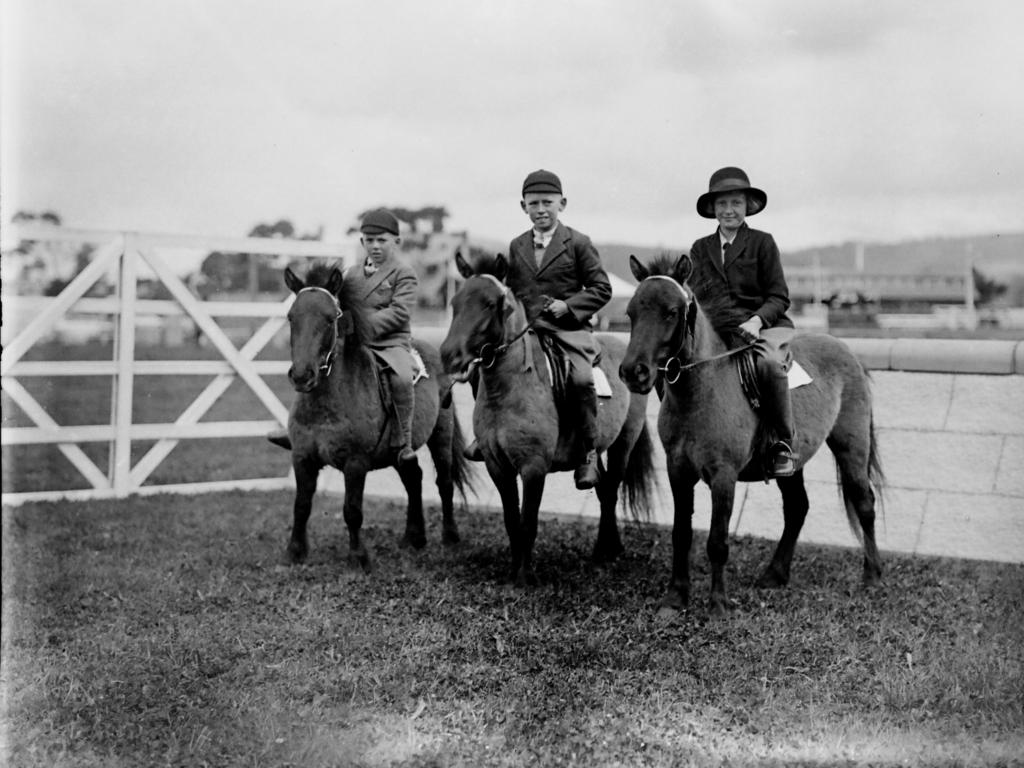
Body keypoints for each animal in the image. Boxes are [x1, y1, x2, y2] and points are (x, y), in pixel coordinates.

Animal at [280, 264, 471, 573]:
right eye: (291, 317)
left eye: (330, 318)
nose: (301, 375)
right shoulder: (302, 458)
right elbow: (301, 505)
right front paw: (295, 552)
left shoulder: (355, 463)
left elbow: (352, 510)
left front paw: (358, 556)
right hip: (399, 453)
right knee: (413, 478)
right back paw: (414, 537)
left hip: (441, 436)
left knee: (444, 483)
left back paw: (450, 536)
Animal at [440, 249, 655, 585]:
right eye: (455, 302)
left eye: (490, 304)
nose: (449, 355)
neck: (509, 389)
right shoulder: (497, 467)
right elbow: (511, 521)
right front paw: (514, 571)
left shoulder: (533, 467)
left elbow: (528, 522)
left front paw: (525, 577)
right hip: (597, 448)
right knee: (602, 487)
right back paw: (608, 545)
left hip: (624, 442)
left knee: (611, 490)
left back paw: (606, 551)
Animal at [614, 253, 880, 618]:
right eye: (631, 312)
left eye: (671, 311)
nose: (633, 372)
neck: (700, 391)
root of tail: (845, 349)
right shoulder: (677, 471)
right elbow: (681, 534)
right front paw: (675, 598)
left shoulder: (723, 476)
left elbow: (717, 541)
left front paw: (718, 604)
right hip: (791, 462)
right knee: (797, 508)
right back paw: (775, 574)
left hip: (851, 445)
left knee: (865, 504)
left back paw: (872, 577)